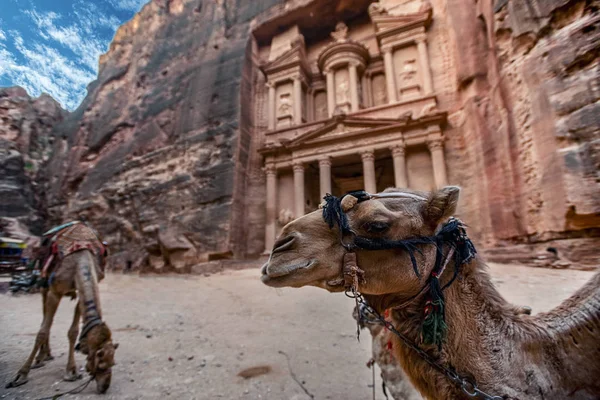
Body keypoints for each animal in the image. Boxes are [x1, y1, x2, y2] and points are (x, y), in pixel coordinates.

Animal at [5, 222, 118, 394]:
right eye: (100, 364)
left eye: (113, 363)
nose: (104, 386)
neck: (80, 258)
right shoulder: (55, 291)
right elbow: (42, 331)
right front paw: (21, 375)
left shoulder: (79, 292)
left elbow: (73, 332)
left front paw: (71, 371)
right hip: (44, 283)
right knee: (45, 317)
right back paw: (41, 357)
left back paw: (47, 354)